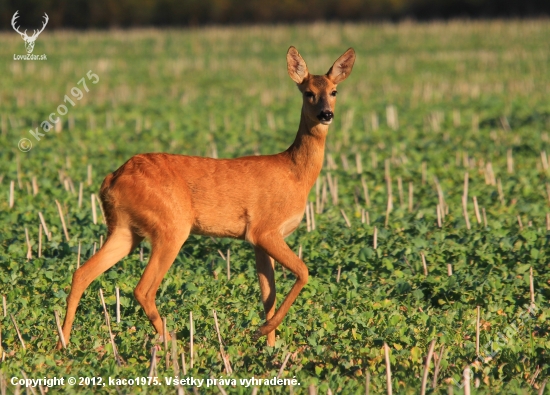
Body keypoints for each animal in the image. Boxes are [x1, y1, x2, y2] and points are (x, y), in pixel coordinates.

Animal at [58, 47, 356, 350]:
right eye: (308, 92)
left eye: (334, 91)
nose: (326, 114)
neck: (295, 174)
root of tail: (112, 179)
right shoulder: (265, 230)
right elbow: (304, 271)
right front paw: (261, 332)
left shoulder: (258, 241)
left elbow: (268, 296)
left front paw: (270, 347)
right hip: (171, 226)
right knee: (143, 289)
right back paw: (173, 343)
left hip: (125, 230)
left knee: (82, 273)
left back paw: (63, 342)